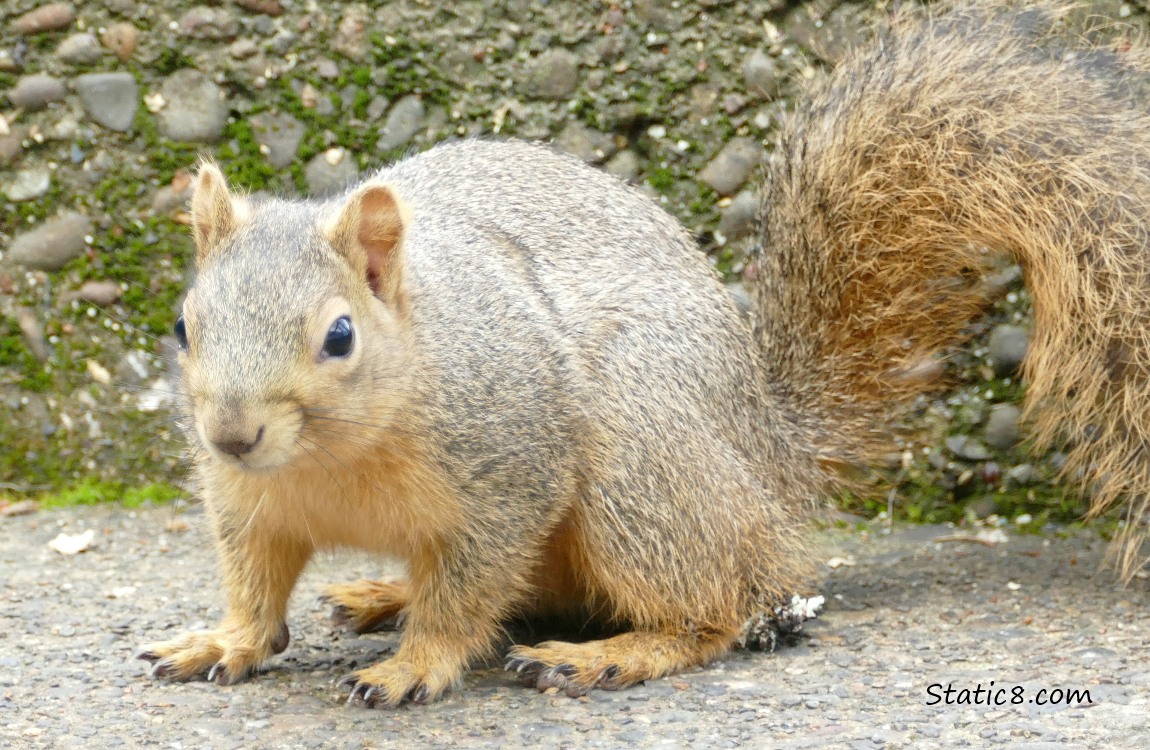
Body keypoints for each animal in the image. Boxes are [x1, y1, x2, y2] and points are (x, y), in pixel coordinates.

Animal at [136, 0, 1150, 703]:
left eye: (339, 335)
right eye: (185, 326)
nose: (231, 434)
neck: (334, 456)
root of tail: (767, 456)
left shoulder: (509, 471)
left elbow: (467, 588)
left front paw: (415, 665)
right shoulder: (250, 504)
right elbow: (255, 586)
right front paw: (224, 640)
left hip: (638, 469)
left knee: (721, 604)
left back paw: (610, 655)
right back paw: (384, 594)